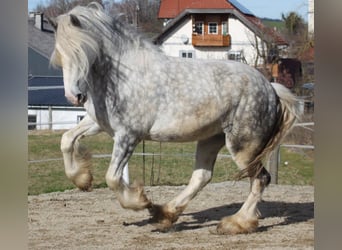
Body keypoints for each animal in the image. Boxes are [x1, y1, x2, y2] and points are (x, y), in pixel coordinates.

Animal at [48, 2, 300, 234]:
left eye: (84, 50)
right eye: (60, 54)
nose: (75, 96)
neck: (123, 76)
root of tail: (271, 89)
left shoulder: (128, 135)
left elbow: (112, 177)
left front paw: (139, 201)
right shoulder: (99, 124)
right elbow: (66, 140)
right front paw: (82, 179)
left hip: (243, 147)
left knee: (260, 179)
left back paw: (236, 223)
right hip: (211, 139)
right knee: (202, 177)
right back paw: (165, 214)